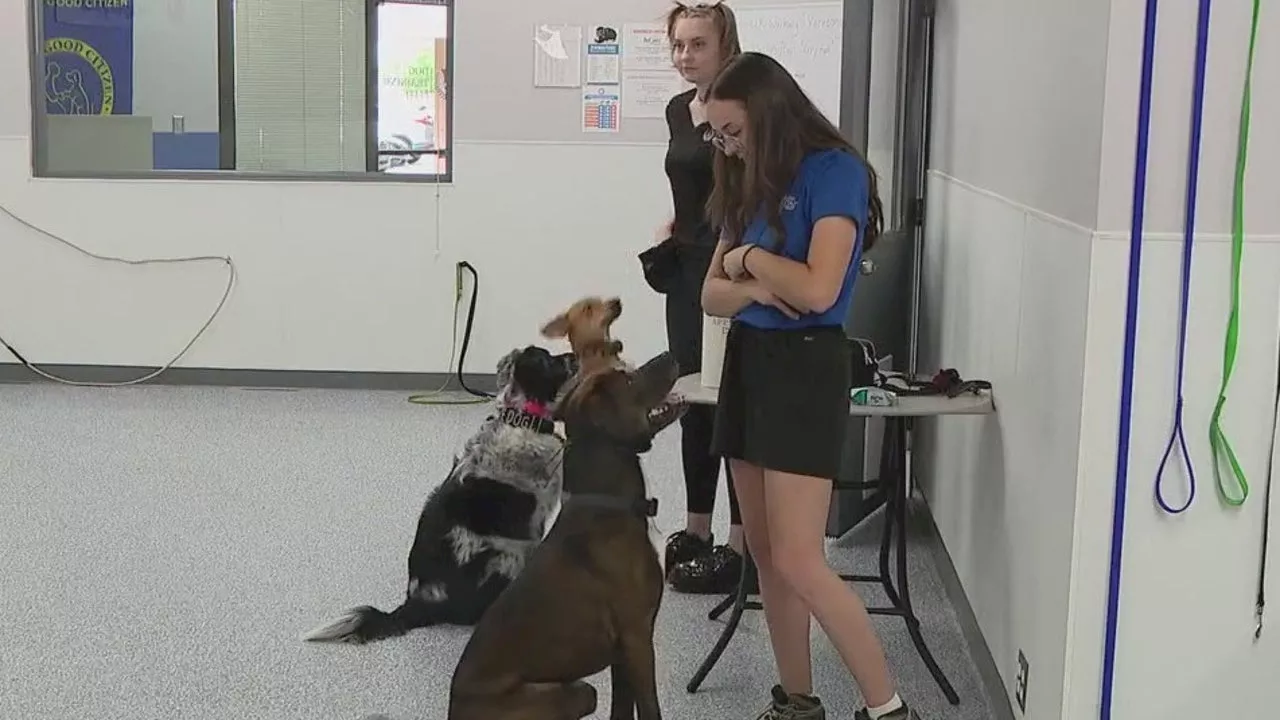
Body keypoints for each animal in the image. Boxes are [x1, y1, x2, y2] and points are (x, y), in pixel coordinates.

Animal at [450, 302, 691, 717]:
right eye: (628, 380)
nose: (671, 353)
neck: (610, 502)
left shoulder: (622, 653)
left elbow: (623, 708)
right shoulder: (637, 638)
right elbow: (650, 708)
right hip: (572, 691)